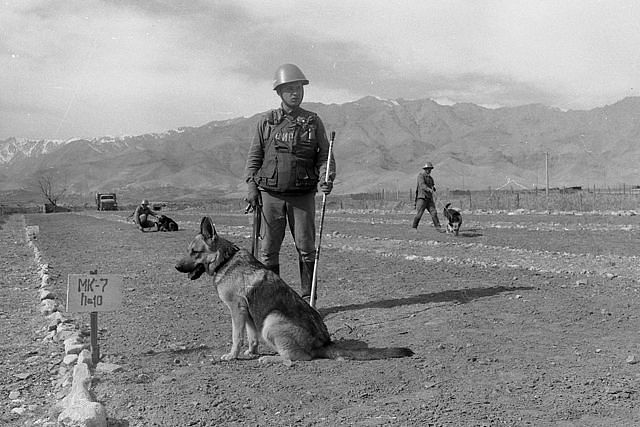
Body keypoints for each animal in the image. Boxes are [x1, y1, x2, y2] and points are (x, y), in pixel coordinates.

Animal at [175, 217, 416, 364]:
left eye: (195, 252)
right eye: (189, 250)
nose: (176, 267)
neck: (226, 260)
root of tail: (324, 344)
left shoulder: (237, 310)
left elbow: (237, 337)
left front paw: (232, 355)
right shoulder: (250, 314)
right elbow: (251, 337)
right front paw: (250, 352)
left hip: (272, 320)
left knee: (296, 358)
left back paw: (271, 359)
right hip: (266, 320)